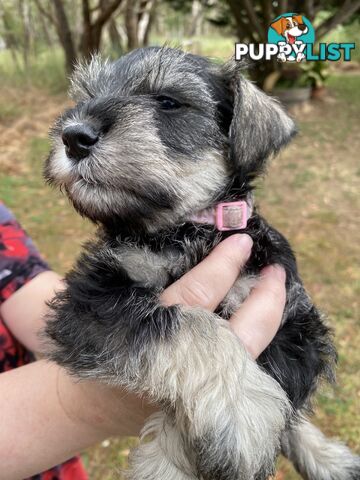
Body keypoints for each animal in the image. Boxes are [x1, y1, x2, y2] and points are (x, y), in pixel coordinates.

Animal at [43, 46, 360, 480]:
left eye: (167, 102)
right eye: (86, 96)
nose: (74, 136)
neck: (188, 230)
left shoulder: (293, 319)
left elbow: (281, 391)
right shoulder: (93, 299)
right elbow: (188, 325)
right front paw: (240, 410)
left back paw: (328, 458)